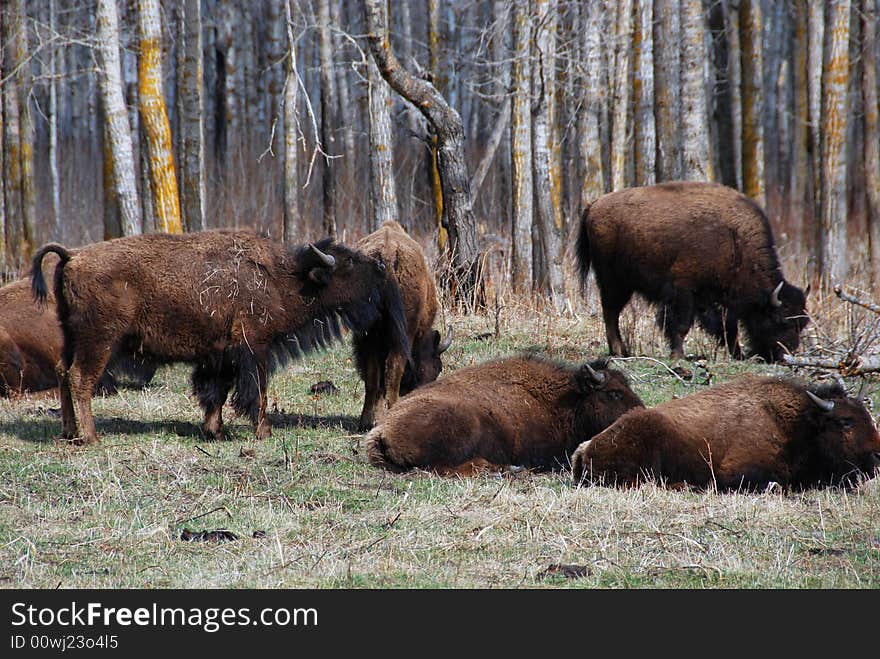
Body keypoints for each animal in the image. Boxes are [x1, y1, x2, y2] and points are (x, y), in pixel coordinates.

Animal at [30, 229, 410, 446]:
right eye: (348, 263)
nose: (381, 268)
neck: (284, 279)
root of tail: (73, 256)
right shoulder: (254, 350)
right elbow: (257, 392)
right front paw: (263, 433)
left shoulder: (220, 355)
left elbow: (217, 392)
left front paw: (215, 431)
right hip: (99, 341)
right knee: (80, 379)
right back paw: (91, 437)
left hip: (71, 337)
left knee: (63, 373)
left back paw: (69, 432)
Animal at [352, 219, 450, 430]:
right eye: (438, 367)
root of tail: (388, 254)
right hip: (402, 333)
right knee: (393, 367)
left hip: (367, 335)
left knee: (372, 375)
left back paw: (366, 421)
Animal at [366, 356, 648, 474]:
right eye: (613, 393)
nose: (642, 413)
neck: (566, 400)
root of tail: (381, 431)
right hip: (465, 427)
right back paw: (506, 469)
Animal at [572, 376, 880, 490]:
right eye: (845, 422)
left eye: (867, 417)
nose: (876, 456)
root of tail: (586, 447)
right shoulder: (736, 472)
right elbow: (774, 484)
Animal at [576, 183, 812, 364]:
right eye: (780, 320)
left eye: (803, 324)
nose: (785, 354)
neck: (736, 243)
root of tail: (594, 205)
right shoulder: (684, 291)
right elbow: (681, 324)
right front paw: (678, 355)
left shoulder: (716, 300)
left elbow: (728, 329)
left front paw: (738, 355)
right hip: (614, 281)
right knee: (610, 312)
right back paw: (619, 351)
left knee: (611, 312)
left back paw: (621, 351)